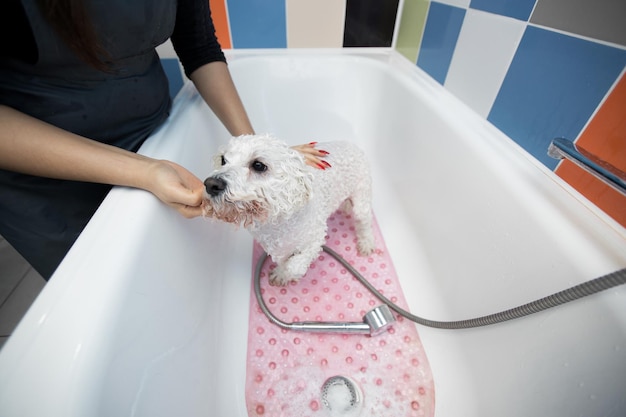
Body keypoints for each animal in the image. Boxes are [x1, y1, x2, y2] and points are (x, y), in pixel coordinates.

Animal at [202, 133, 372, 286]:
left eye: (258, 165)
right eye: (223, 160)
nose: (211, 184)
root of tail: (351, 144)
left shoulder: (315, 239)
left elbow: (294, 266)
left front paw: (287, 275)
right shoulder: (279, 249)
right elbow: (284, 263)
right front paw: (281, 274)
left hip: (361, 197)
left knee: (364, 220)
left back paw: (366, 243)